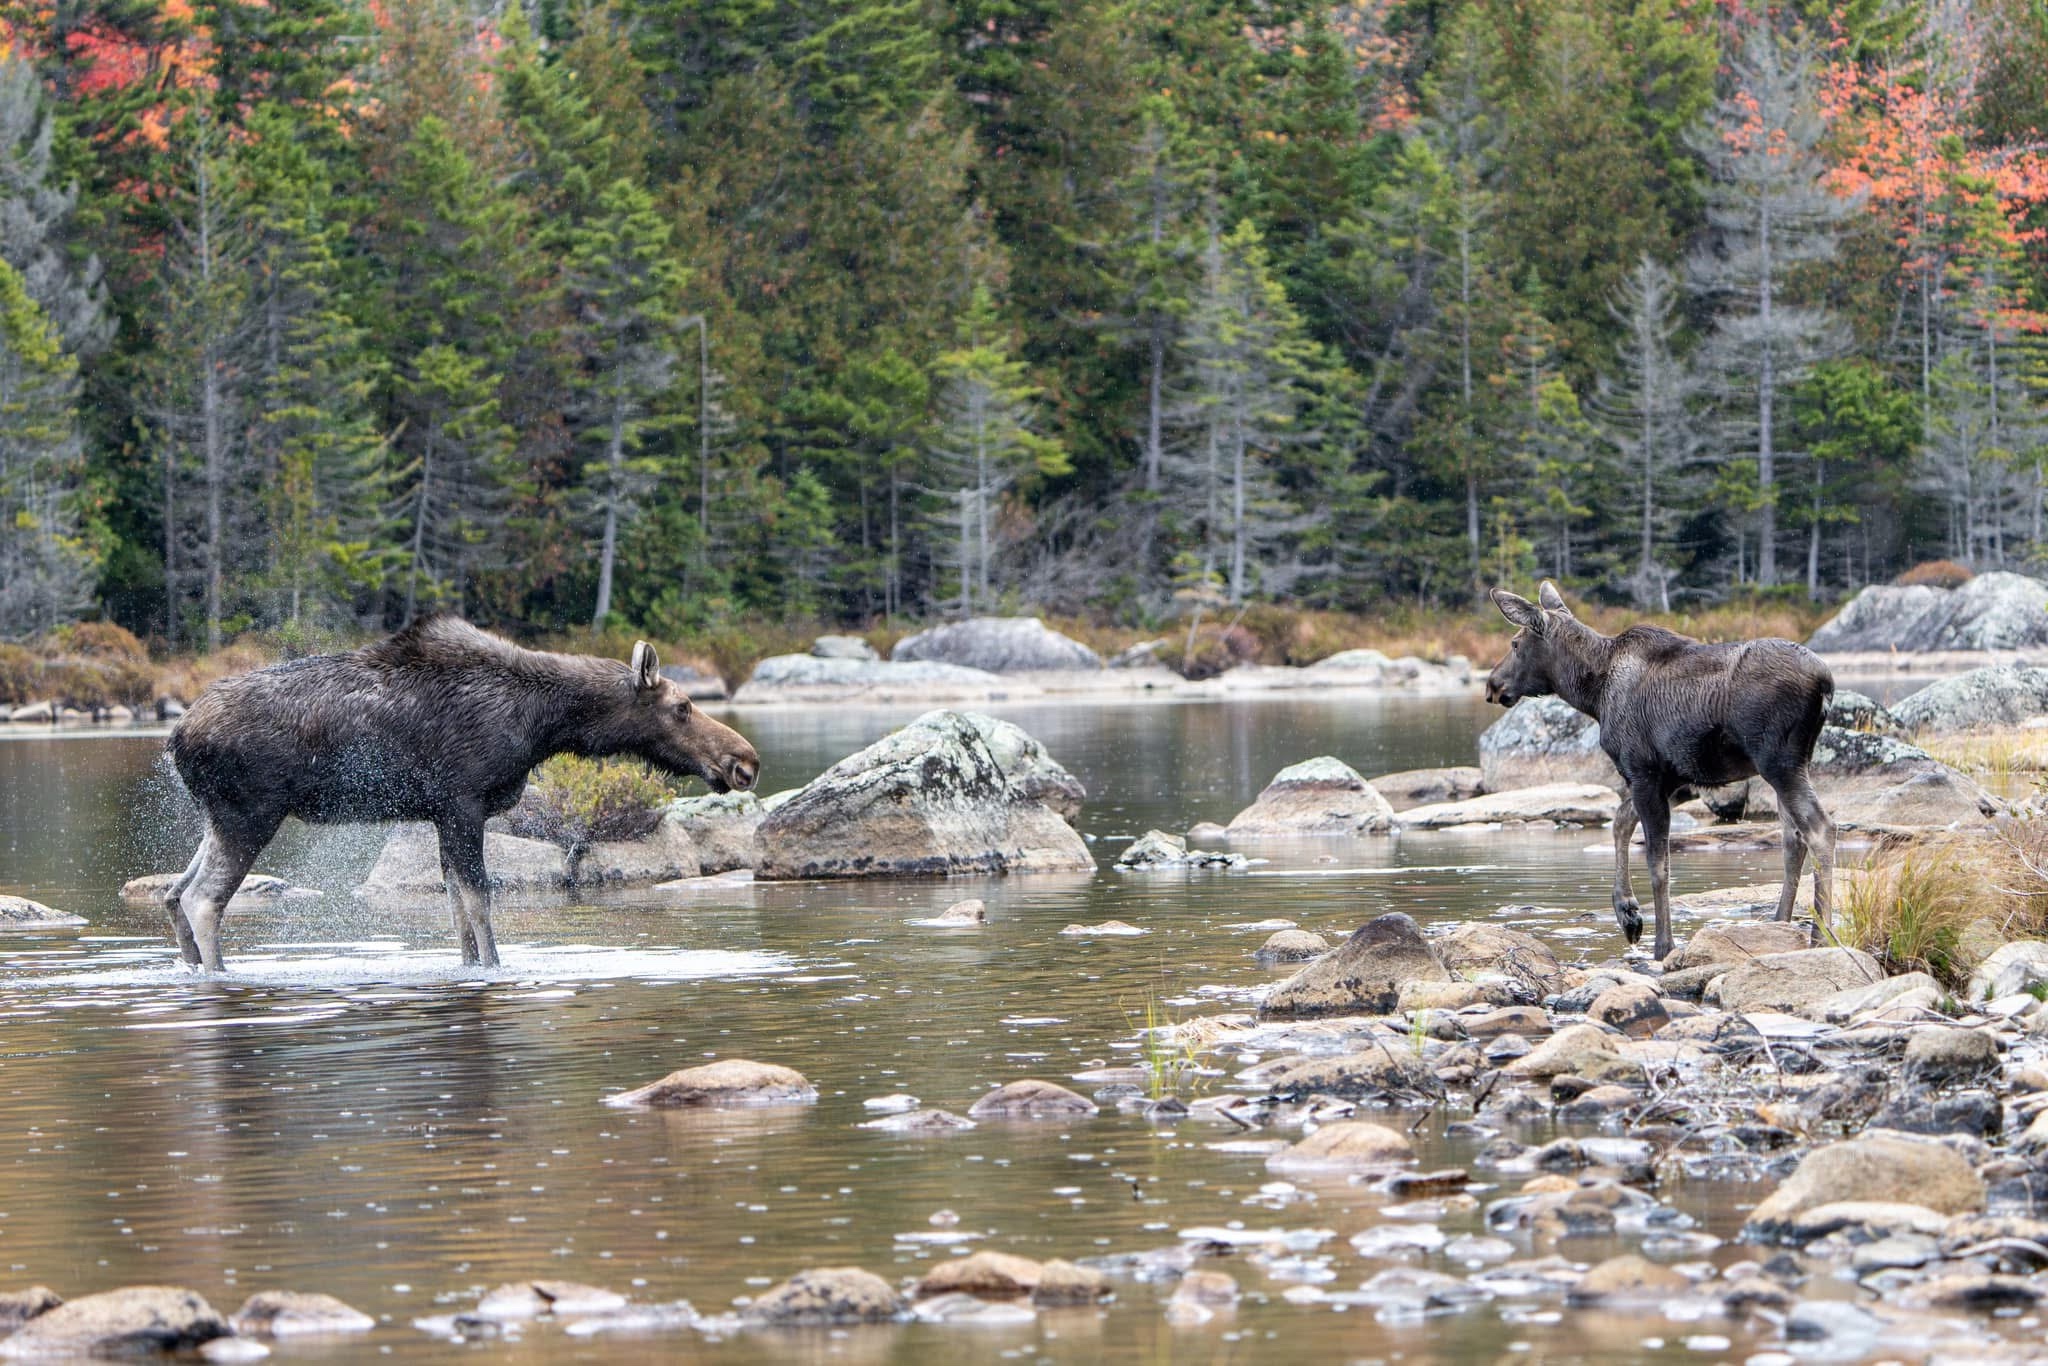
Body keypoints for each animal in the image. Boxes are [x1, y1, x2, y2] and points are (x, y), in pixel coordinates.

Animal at [165, 618, 761, 970]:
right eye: (682, 706)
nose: (745, 763)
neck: (543, 725)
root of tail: (177, 736)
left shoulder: (438, 815)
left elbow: (456, 912)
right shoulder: (463, 804)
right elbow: (480, 904)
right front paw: (495, 966)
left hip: (217, 815)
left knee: (173, 892)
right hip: (251, 812)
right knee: (203, 900)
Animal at [1482, 585, 1835, 962]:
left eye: (1515, 643)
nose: (1492, 685)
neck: (1593, 695)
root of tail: (1825, 683)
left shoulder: (1643, 771)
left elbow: (1657, 863)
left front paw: (1662, 945)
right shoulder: (1669, 778)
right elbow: (1621, 823)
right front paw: (1628, 914)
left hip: (1778, 761)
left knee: (1819, 829)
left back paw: (1821, 934)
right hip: (1793, 764)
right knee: (1792, 839)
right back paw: (1780, 922)